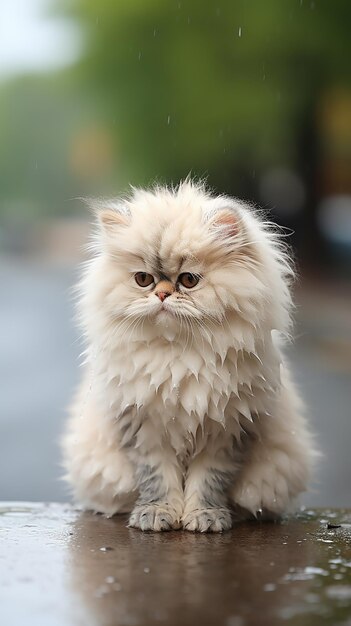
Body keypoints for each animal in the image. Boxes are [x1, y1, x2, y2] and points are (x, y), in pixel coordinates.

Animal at [62, 180, 316, 532]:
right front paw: (157, 515)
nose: (162, 295)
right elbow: (158, 479)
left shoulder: (228, 429)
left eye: (188, 280)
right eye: (143, 279)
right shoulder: (144, 429)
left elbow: (208, 481)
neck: (179, 357)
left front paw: (204, 518)